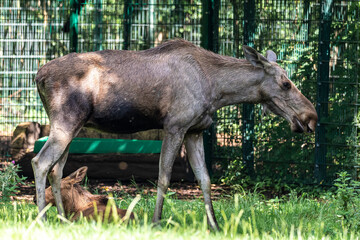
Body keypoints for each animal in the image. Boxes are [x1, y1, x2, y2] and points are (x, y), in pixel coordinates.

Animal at [32, 39, 316, 231]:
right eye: (286, 84)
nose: (310, 117)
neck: (218, 90)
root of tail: (38, 76)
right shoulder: (175, 126)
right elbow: (164, 177)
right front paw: (156, 221)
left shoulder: (195, 131)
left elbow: (205, 179)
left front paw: (214, 225)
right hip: (66, 121)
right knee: (40, 162)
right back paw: (42, 219)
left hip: (73, 126)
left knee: (57, 170)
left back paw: (62, 219)